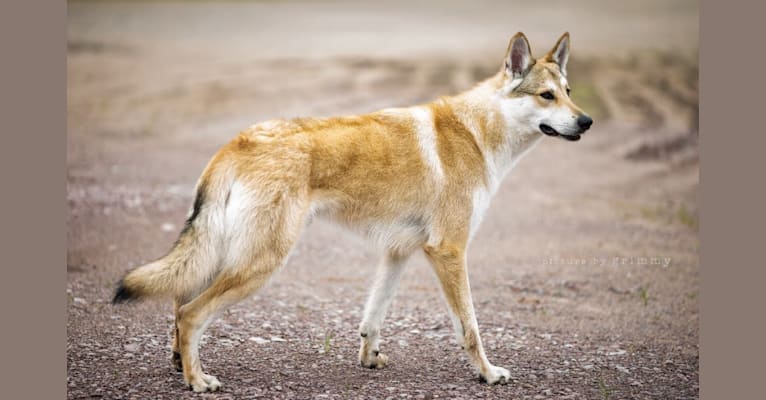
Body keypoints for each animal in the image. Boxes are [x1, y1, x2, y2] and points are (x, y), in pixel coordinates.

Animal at [112, 32, 592, 394]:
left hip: (232, 257)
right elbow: (469, 327)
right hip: (260, 264)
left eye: (569, 94)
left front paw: (369, 359)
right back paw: (198, 381)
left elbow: (372, 318)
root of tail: (237, 141)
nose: (586, 122)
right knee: (190, 313)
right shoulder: (449, 252)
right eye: (546, 96)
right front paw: (488, 374)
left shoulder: (399, 253)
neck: (477, 133)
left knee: (179, 304)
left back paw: (180, 364)